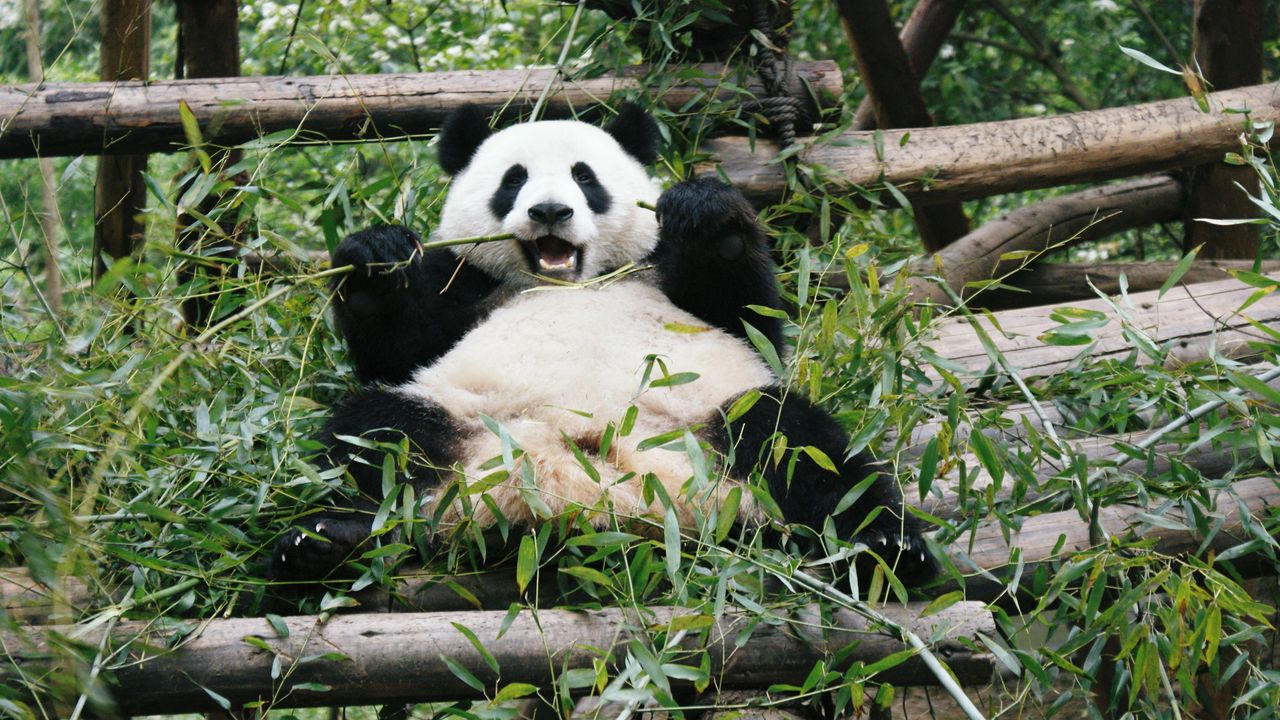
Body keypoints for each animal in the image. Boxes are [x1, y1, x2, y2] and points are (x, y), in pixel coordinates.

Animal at [270, 102, 936, 584]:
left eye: (584, 178)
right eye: (513, 181)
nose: (549, 211)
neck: (572, 282)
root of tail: (583, 493)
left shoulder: (665, 276)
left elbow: (754, 322)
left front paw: (708, 215)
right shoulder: (465, 284)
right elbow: (395, 351)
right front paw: (375, 257)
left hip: (713, 424)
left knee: (798, 443)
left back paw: (887, 546)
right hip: (458, 424)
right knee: (375, 437)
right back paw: (320, 542)